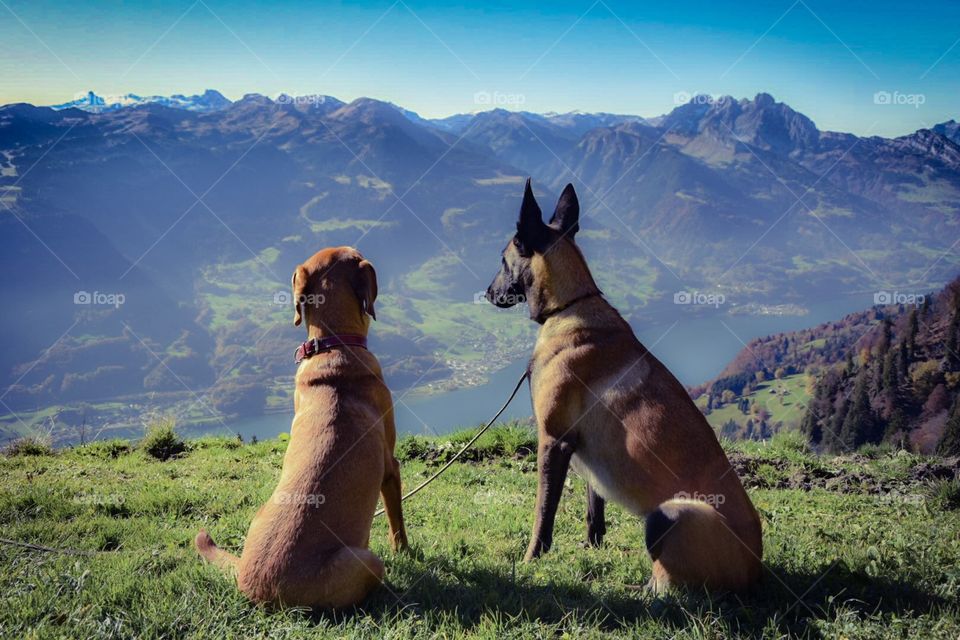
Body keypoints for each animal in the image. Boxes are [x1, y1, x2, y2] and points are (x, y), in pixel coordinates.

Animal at [193, 246, 406, 608]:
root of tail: (255, 586)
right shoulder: (390, 467)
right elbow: (397, 523)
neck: (333, 344)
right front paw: (406, 551)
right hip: (366, 560)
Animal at [488, 179, 764, 592]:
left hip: (668, 515)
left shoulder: (553, 441)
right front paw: (591, 549)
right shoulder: (584, 452)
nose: (487, 293)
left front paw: (530, 559)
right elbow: (594, 512)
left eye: (504, 261)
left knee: (667, 585)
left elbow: (542, 515)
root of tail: (756, 567)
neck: (571, 307)